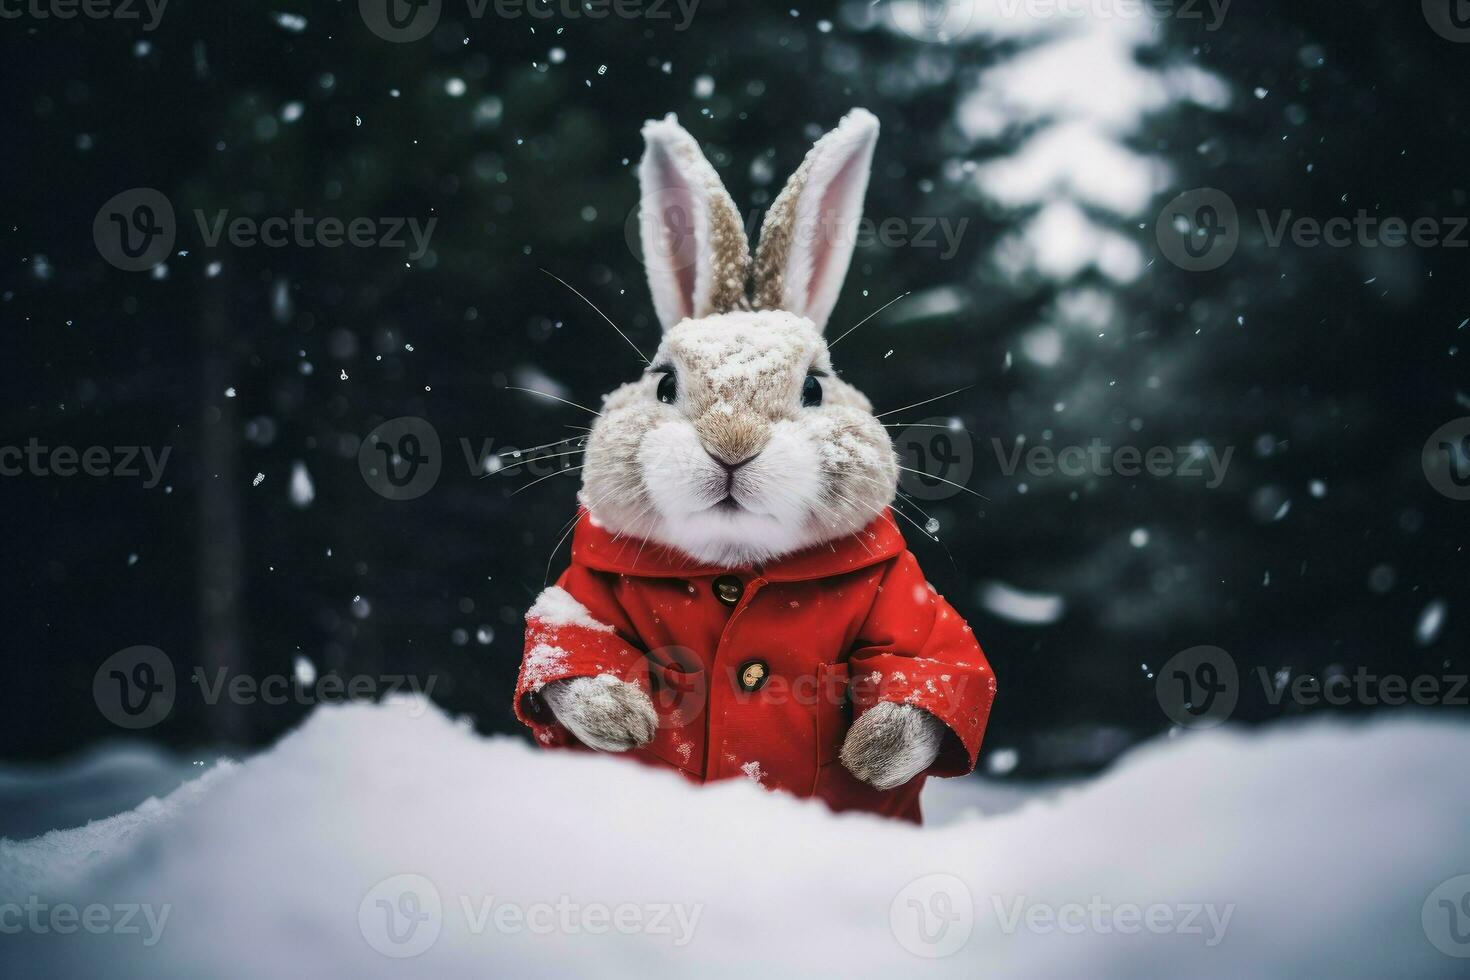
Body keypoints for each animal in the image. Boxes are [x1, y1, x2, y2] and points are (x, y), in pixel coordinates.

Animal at [517, 109, 999, 822]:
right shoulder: (579, 599)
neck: (737, 566)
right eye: (664, 385)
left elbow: (933, 665)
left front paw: (872, 756)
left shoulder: (908, 605)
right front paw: (622, 722)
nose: (733, 442)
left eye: (815, 388)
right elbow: (570, 648)